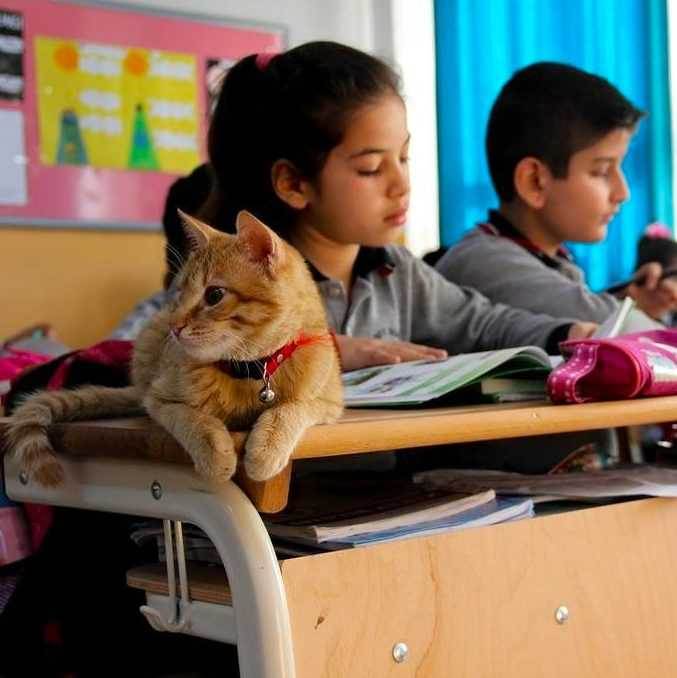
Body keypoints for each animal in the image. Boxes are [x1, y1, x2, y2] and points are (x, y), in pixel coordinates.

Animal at [11, 211, 344, 484]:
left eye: (214, 295)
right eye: (180, 292)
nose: (175, 326)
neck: (250, 370)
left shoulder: (328, 403)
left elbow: (289, 410)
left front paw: (265, 449)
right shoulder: (160, 400)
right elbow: (194, 420)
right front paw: (216, 454)